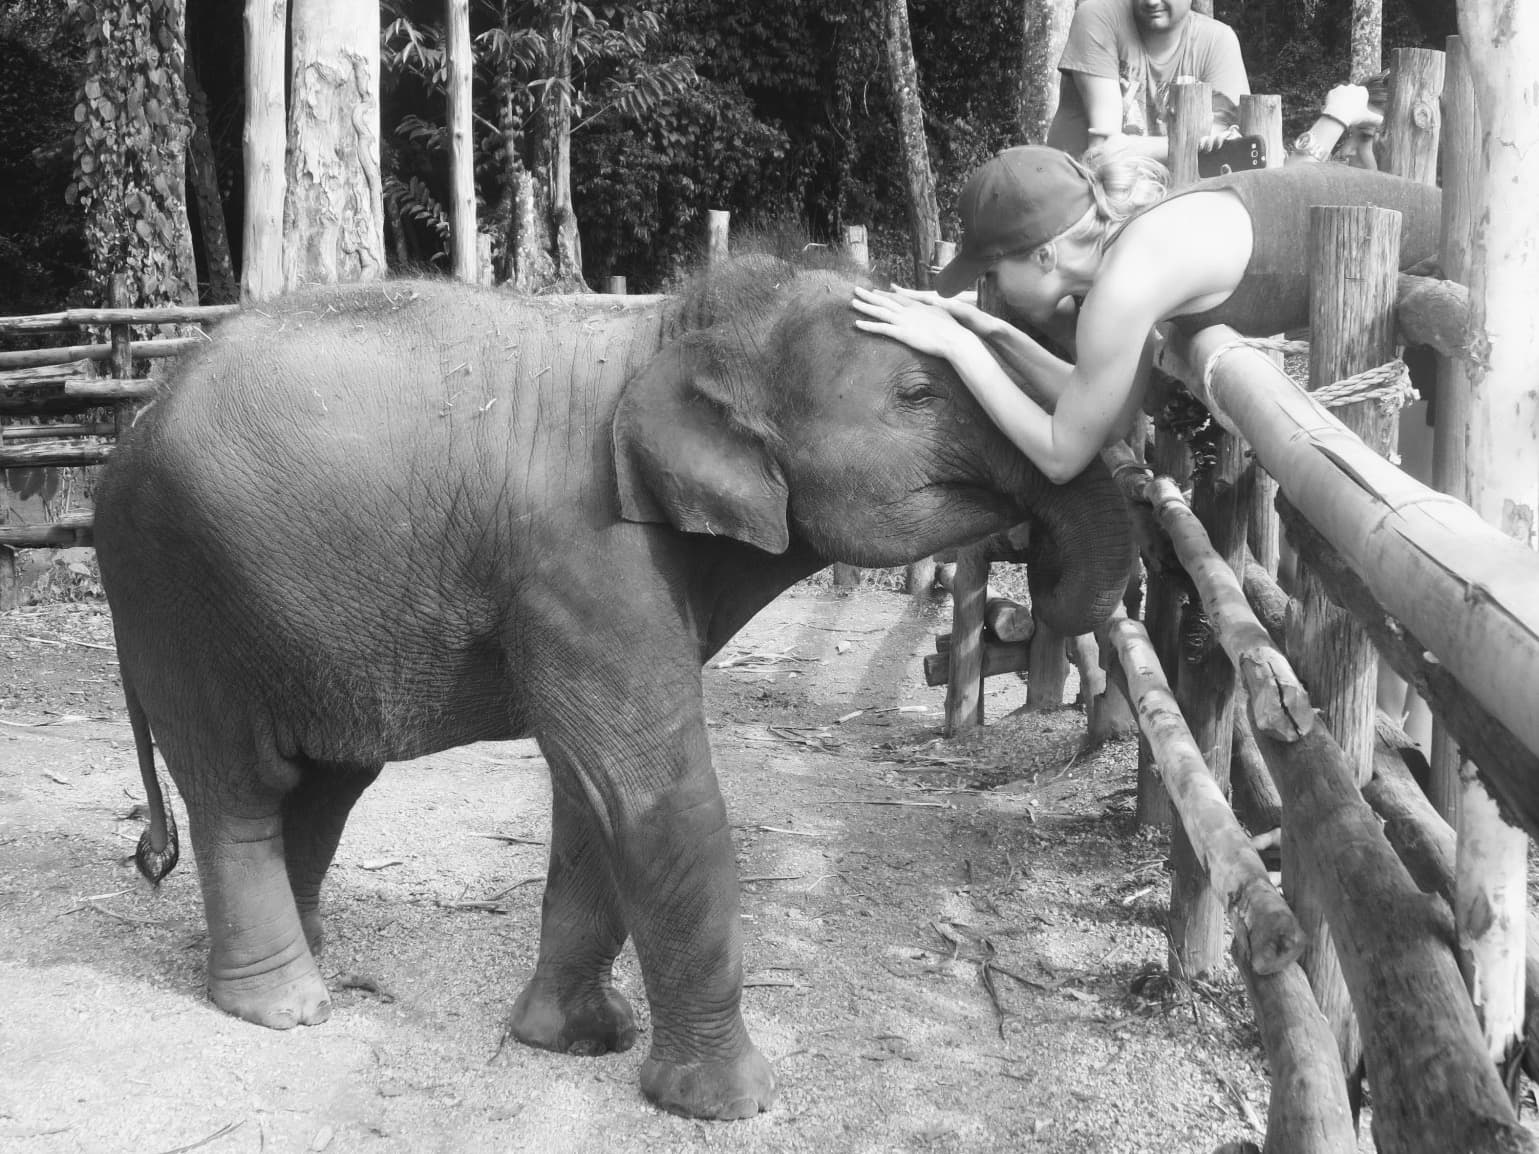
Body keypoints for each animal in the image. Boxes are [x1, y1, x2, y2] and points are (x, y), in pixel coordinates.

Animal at [93, 257, 1133, 1120]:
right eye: (917, 394)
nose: (1030, 579)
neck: (676, 333)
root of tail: (127, 427)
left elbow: (589, 794)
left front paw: (574, 1040)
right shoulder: (588, 555)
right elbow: (647, 789)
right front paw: (729, 1106)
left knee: (325, 783)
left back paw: (310, 957)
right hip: (178, 596)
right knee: (243, 791)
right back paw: (285, 1006)